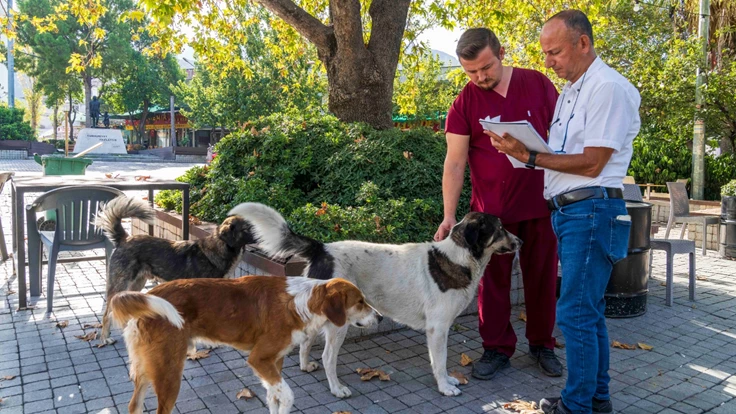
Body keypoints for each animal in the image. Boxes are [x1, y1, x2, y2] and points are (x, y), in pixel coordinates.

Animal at [95, 197, 256, 346]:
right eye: (247, 228)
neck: (218, 250)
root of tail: (124, 239)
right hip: (121, 284)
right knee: (107, 313)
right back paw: (105, 337)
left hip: (137, 283)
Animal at [109, 274, 380, 414]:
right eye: (360, 302)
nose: (380, 317)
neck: (301, 302)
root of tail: (148, 295)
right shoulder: (259, 359)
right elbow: (288, 396)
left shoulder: (273, 362)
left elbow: (274, 398)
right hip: (169, 373)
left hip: (149, 369)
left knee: (134, 405)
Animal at [230, 203, 524, 398]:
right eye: (500, 228)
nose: (520, 241)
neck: (458, 258)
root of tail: (322, 248)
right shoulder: (438, 329)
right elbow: (439, 362)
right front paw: (444, 386)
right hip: (339, 324)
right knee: (327, 357)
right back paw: (336, 389)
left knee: (305, 343)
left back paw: (305, 366)